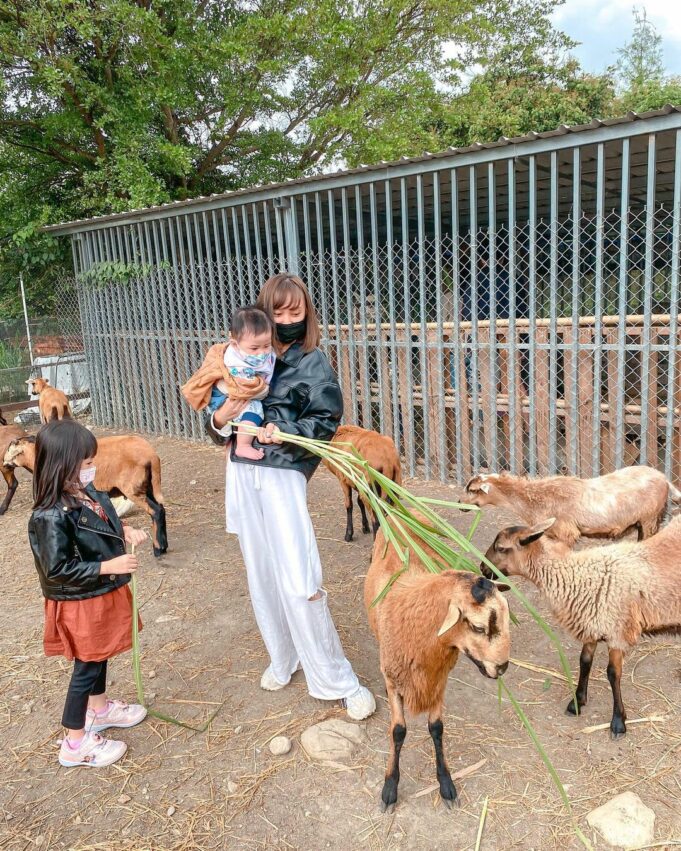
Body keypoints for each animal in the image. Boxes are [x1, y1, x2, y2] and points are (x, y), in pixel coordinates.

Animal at [4, 432, 169, 560]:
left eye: (10, 450)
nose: (4, 464)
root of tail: (152, 455)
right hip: (147, 485)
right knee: (160, 509)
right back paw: (164, 545)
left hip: (132, 488)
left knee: (155, 511)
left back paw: (158, 549)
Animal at [364, 524, 508, 812]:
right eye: (478, 627)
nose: (503, 667)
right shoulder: (395, 678)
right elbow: (398, 730)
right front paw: (390, 788)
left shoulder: (439, 679)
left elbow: (437, 728)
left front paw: (446, 784)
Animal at [462, 466, 680, 544]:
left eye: (472, 489)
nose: (460, 504)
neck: (532, 498)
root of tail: (664, 478)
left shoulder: (566, 532)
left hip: (649, 518)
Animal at [480, 516, 680, 744]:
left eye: (500, 547)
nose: (482, 568)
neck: (575, 575)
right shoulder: (590, 624)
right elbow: (584, 662)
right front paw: (577, 701)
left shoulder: (616, 631)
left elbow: (613, 674)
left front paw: (618, 722)